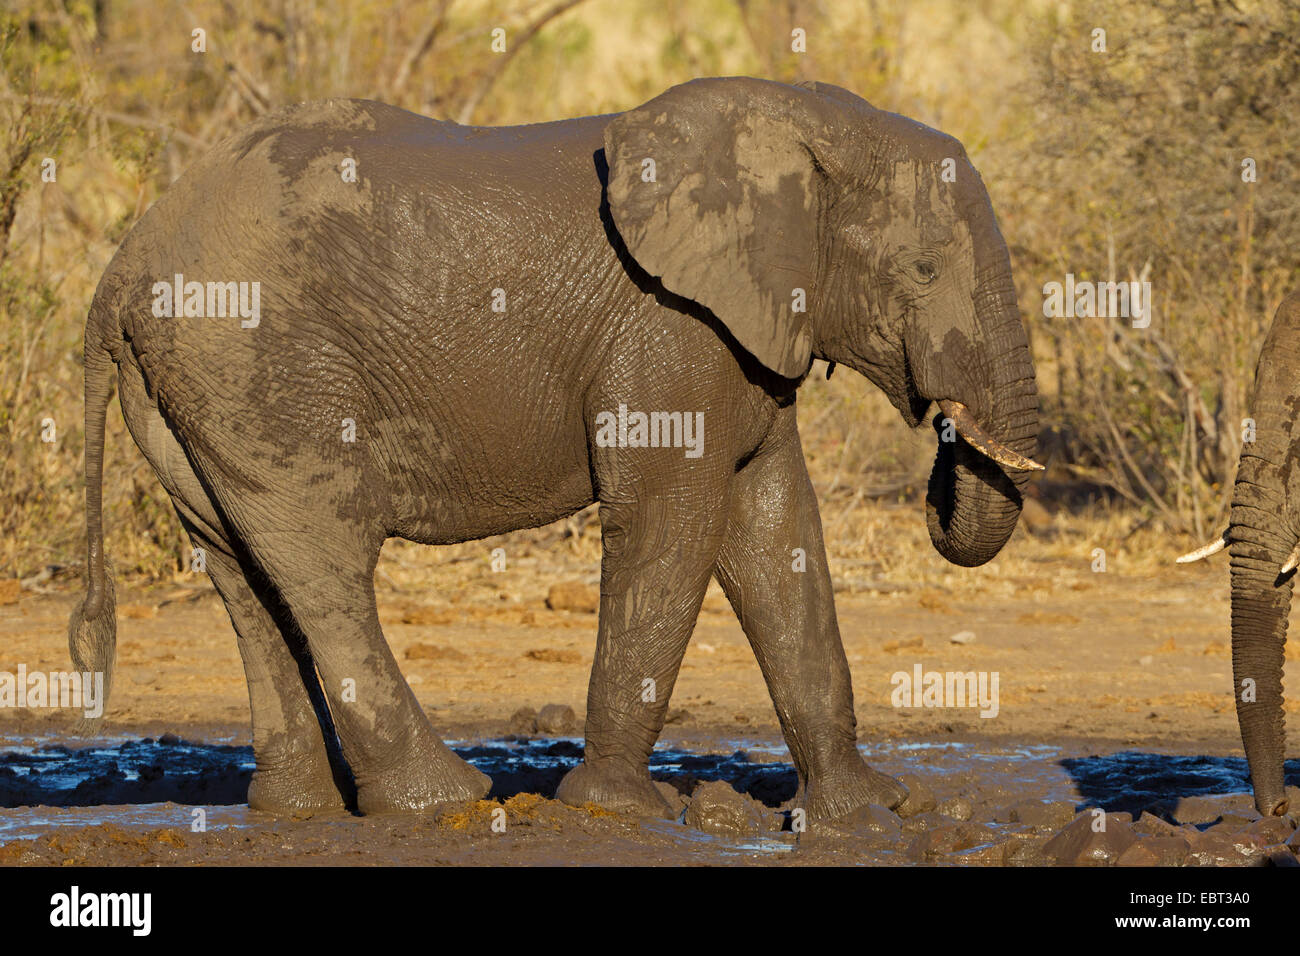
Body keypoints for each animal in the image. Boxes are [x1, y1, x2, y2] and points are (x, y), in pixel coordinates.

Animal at [68, 74, 1045, 822]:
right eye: (921, 270)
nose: (941, 456)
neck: (799, 117)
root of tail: (122, 264)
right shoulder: (670, 329)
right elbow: (671, 526)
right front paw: (623, 810)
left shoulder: (744, 337)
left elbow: (778, 531)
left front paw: (865, 811)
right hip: (257, 365)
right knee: (324, 558)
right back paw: (444, 802)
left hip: (193, 391)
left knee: (242, 569)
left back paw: (298, 810)